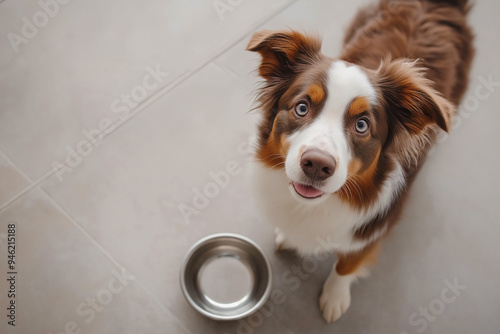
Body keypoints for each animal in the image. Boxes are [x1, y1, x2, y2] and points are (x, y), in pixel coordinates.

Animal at [248, 0, 474, 324]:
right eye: (302, 107)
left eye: (362, 126)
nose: (316, 165)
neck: (321, 204)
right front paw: (289, 237)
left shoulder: (374, 227)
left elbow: (346, 265)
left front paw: (334, 297)